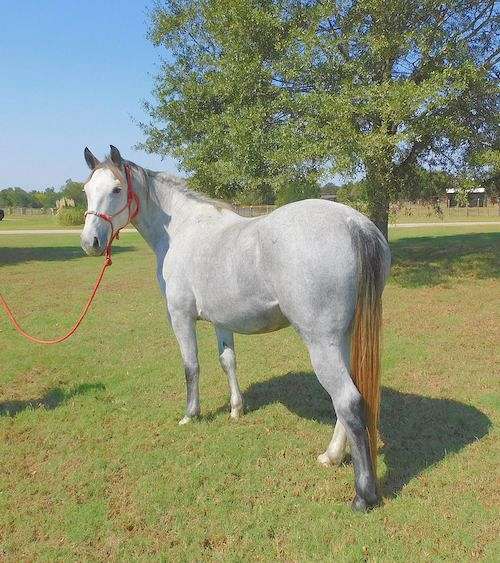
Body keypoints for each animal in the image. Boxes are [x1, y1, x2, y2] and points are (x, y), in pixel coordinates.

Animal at [81, 147, 390, 512]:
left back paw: (363, 496)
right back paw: (331, 456)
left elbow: (191, 367)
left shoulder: (180, 316)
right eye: (86, 190)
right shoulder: (221, 321)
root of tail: (354, 223)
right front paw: (236, 409)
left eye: (116, 189)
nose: (90, 242)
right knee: (349, 399)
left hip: (321, 343)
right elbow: (227, 361)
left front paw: (191, 415)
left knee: (348, 401)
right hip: (342, 338)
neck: (183, 230)